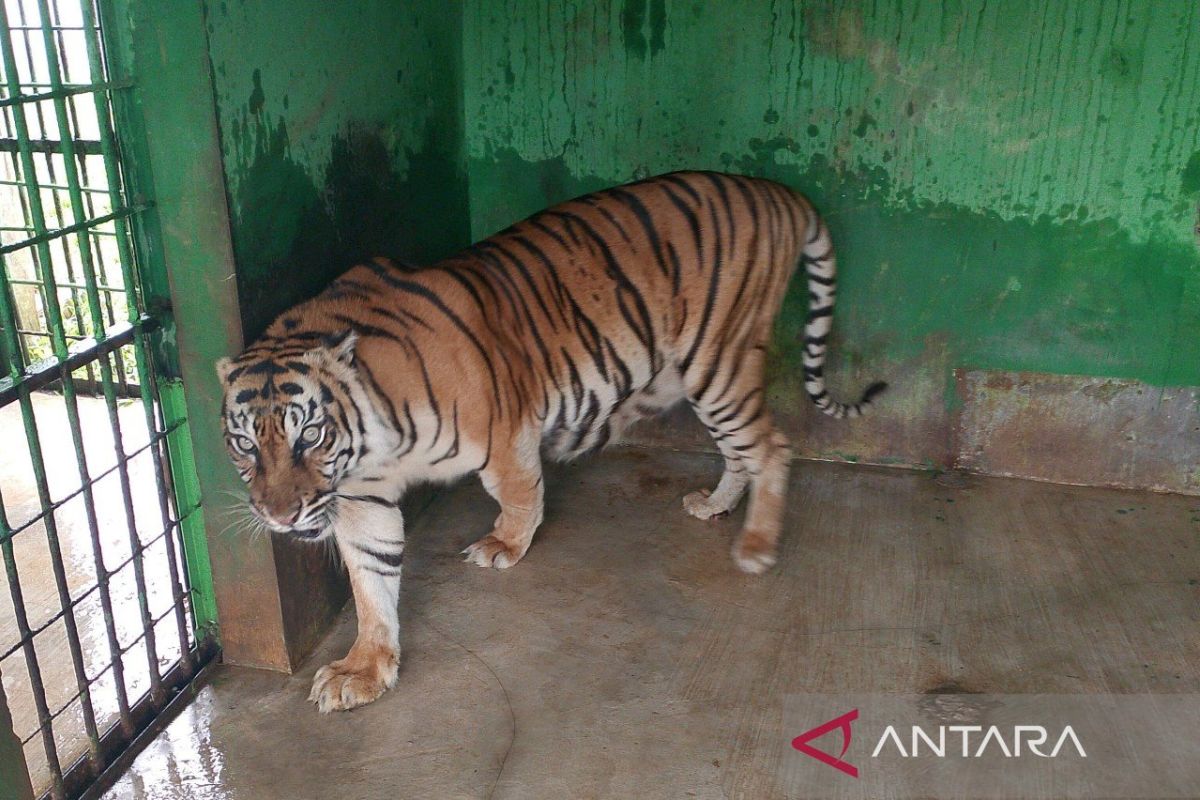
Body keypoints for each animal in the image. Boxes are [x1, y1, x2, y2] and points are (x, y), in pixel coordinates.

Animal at [216, 170, 883, 714]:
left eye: (309, 435)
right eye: (247, 446)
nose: (280, 516)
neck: (368, 443)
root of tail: (776, 190)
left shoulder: (503, 428)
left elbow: (517, 492)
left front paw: (505, 545)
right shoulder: (359, 497)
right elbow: (371, 579)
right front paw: (365, 669)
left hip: (719, 361)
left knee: (770, 446)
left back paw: (757, 546)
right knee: (741, 449)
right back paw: (716, 505)